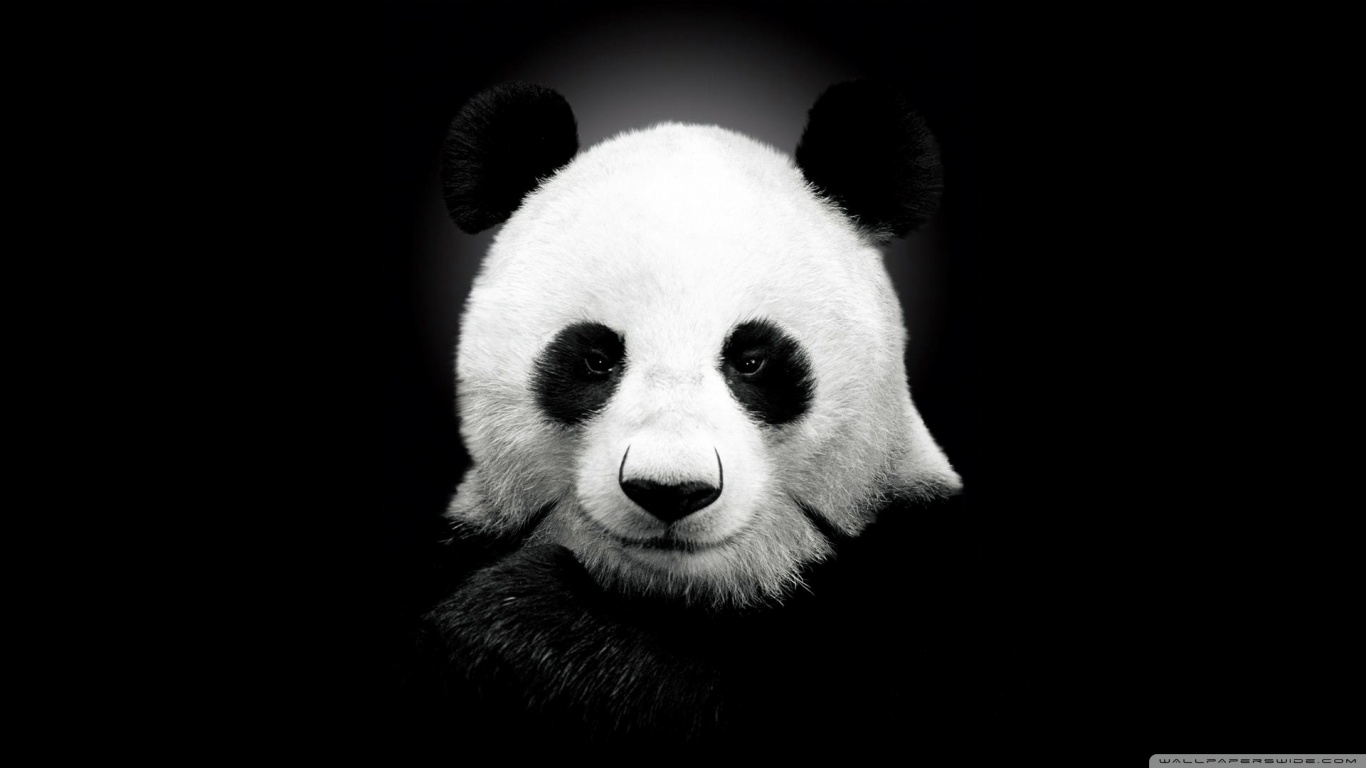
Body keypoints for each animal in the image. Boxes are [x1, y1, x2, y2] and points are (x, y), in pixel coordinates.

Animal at [411, 81, 985, 748]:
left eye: (753, 361)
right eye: (596, 359)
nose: (671, 491)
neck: (681, 594)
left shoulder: (915, 582)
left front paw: (517, 623)